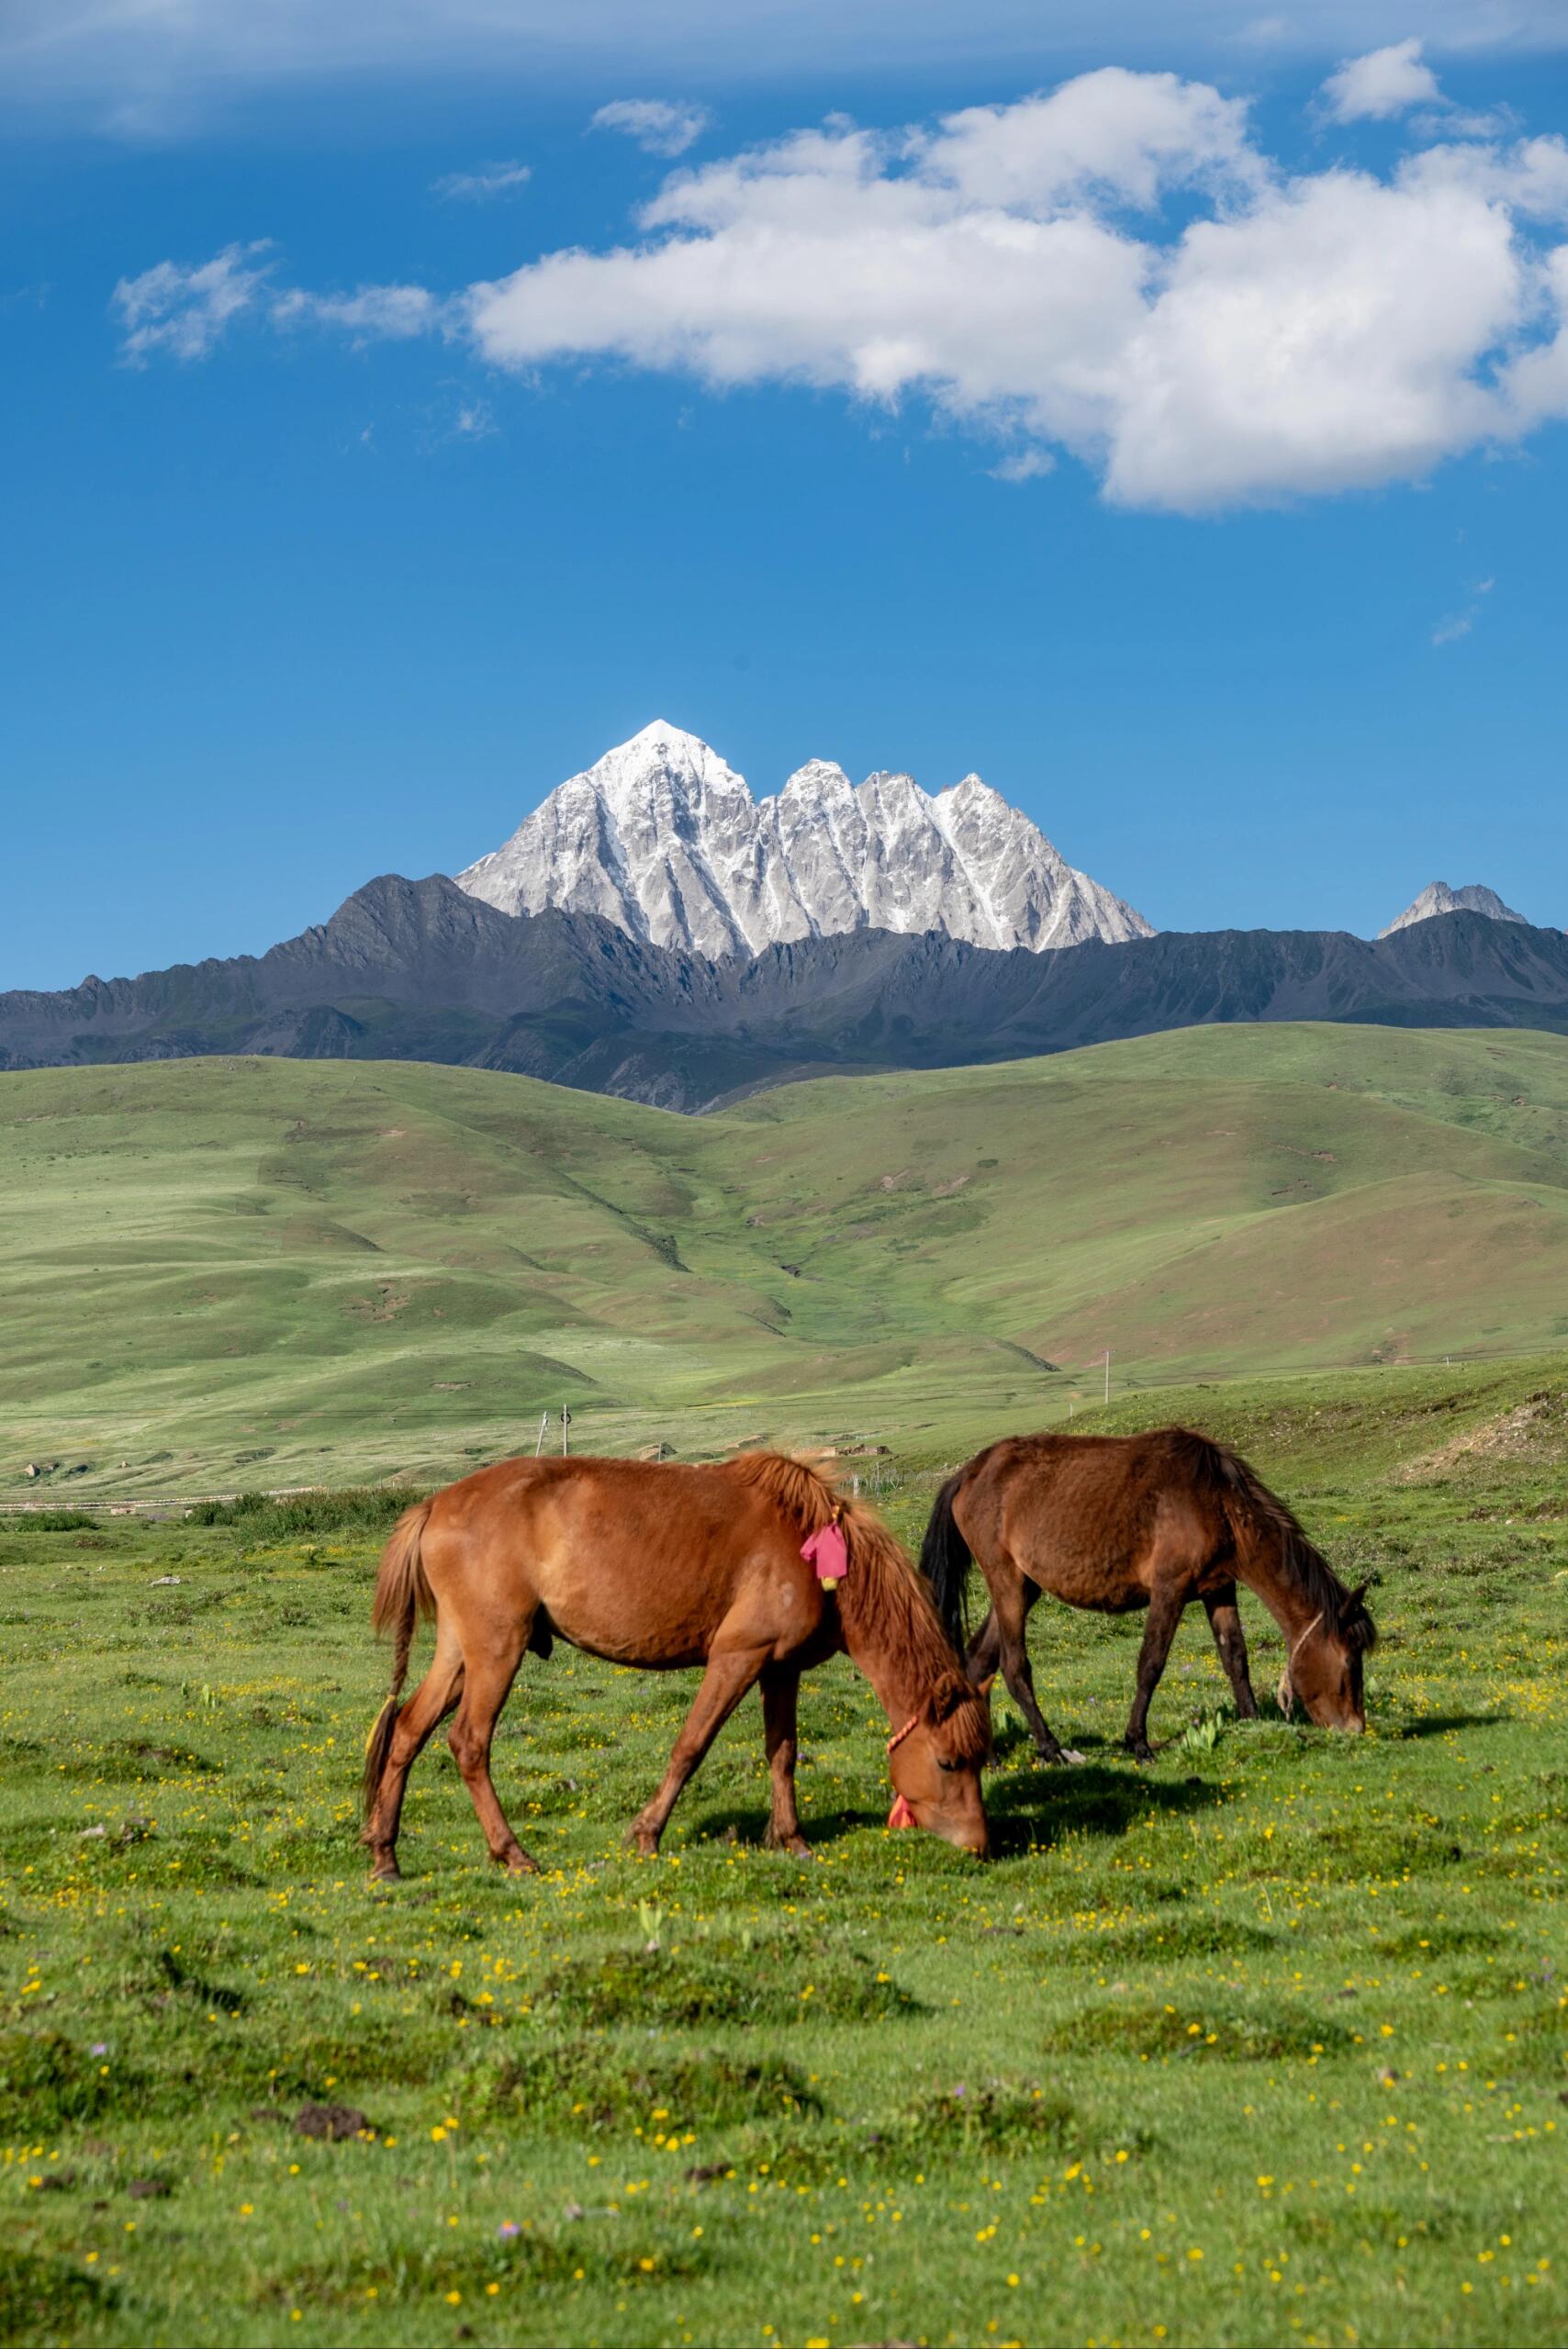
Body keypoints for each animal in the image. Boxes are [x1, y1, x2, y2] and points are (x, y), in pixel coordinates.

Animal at [362, 1449, 992, 1879]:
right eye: (948, 1762)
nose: (979, 1846)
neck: (811, 1548)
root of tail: (435, 1503)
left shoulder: (779, 1669)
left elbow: (783, 1754)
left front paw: (790, 1840)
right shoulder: (737, 1656)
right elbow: (691, 1746)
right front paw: (646, 1834)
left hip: (460, 1654)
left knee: (407, 1731)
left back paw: (385, 1855)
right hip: (497, 1650)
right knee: (468, 1742)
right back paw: (512, 1853)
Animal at [919, 1427, 1376, 1762]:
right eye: (1349, 1663)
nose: (1355, 1729)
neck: (1216, 1502)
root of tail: (968, 1474)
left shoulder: (1219, 1589)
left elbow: (1236, 1658)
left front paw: (1251, 1722)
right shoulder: (1169, 1590)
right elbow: (1151, 1664)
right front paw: (1137, 1742)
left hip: (1025, 1586)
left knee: (979, 1659)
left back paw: (988, 1756)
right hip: (1007, 1583)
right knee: (1015, 1667)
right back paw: (1050, 1748)